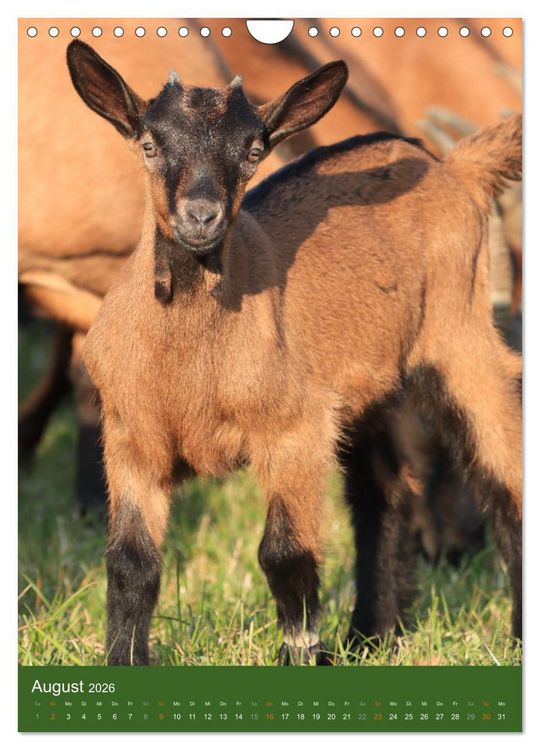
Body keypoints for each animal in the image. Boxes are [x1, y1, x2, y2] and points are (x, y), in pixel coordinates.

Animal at [67, 39, 522, 665]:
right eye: (149, 144)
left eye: (255, 149)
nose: (201, 216)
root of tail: (452, 167)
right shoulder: (131, 440)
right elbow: (130, 564)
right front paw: (124, 664)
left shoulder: (294, 431)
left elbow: (285, 555)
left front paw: (303, 655)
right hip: (372, 386)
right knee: (386, 491)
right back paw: (372, 635)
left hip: (461, 338)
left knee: (504, 479)